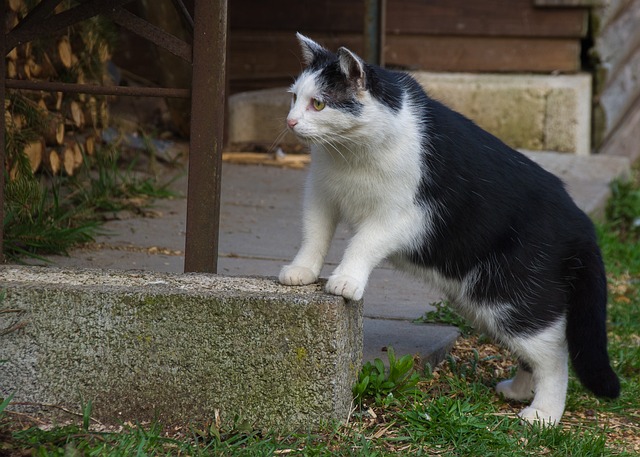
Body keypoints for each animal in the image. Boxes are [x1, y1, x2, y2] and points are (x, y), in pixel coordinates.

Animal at [280, 33, 620, 426]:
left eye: (318, 104)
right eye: (294, 97)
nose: (290, 122)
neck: (349, 154)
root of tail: (581, 222)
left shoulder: (404, 216)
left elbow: (364, 242)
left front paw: (346, 280)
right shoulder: (320, 193)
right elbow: (314, 234)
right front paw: (302, 271)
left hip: (514, 294)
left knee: (553, 353)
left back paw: (544, 414)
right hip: (483, 299)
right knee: (531, 351)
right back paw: (519, 391)